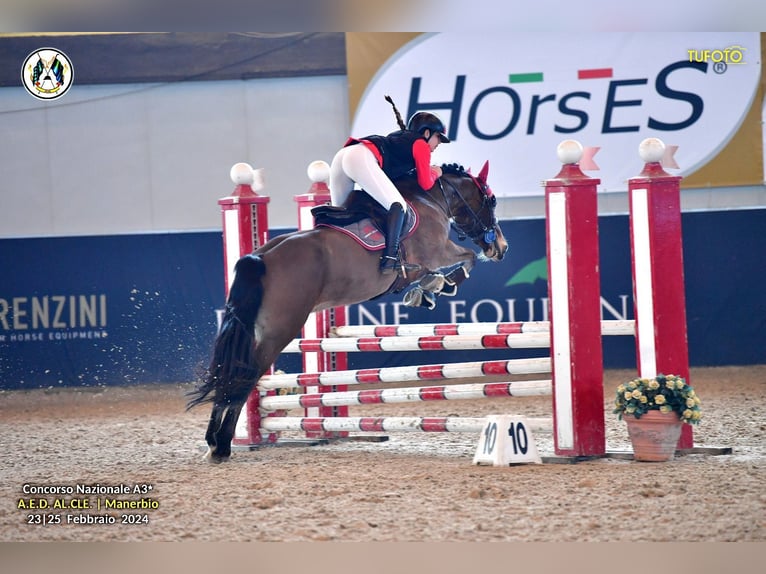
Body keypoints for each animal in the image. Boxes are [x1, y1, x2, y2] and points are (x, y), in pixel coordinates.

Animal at [187, 162, 510, 464]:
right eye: (491, 200)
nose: (501, 247)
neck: (431, 198)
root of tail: (260, 257)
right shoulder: (438, 252)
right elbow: (466, 259)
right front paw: (439, 285)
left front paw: (427, 290)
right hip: (279, 330)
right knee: (246, 374)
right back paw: (223, 445)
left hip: (256, 329)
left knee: (231, 370)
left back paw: (214, 442)